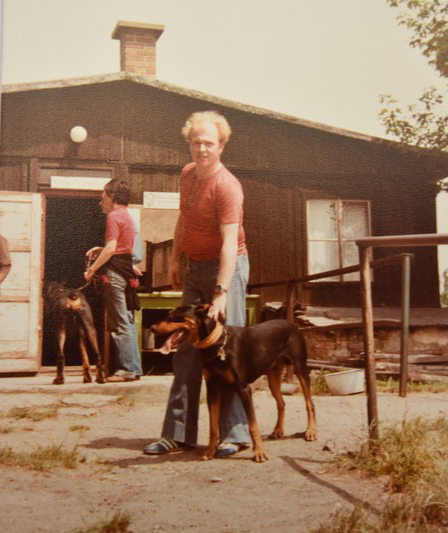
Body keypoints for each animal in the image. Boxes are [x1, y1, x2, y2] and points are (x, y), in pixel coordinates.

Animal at [151, 303, 317, 462]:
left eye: (173, 315)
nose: (152, 328)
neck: (216, 344)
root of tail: (292, 324)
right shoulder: (212, 388)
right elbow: (213, 426)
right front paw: (210, 452)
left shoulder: (243, 388)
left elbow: (252, 424)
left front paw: (259, 452)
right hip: (273, 375)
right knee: (281, 403)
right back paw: (277, 430)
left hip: (300, 369)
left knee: (309, 403)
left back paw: (311, 431)